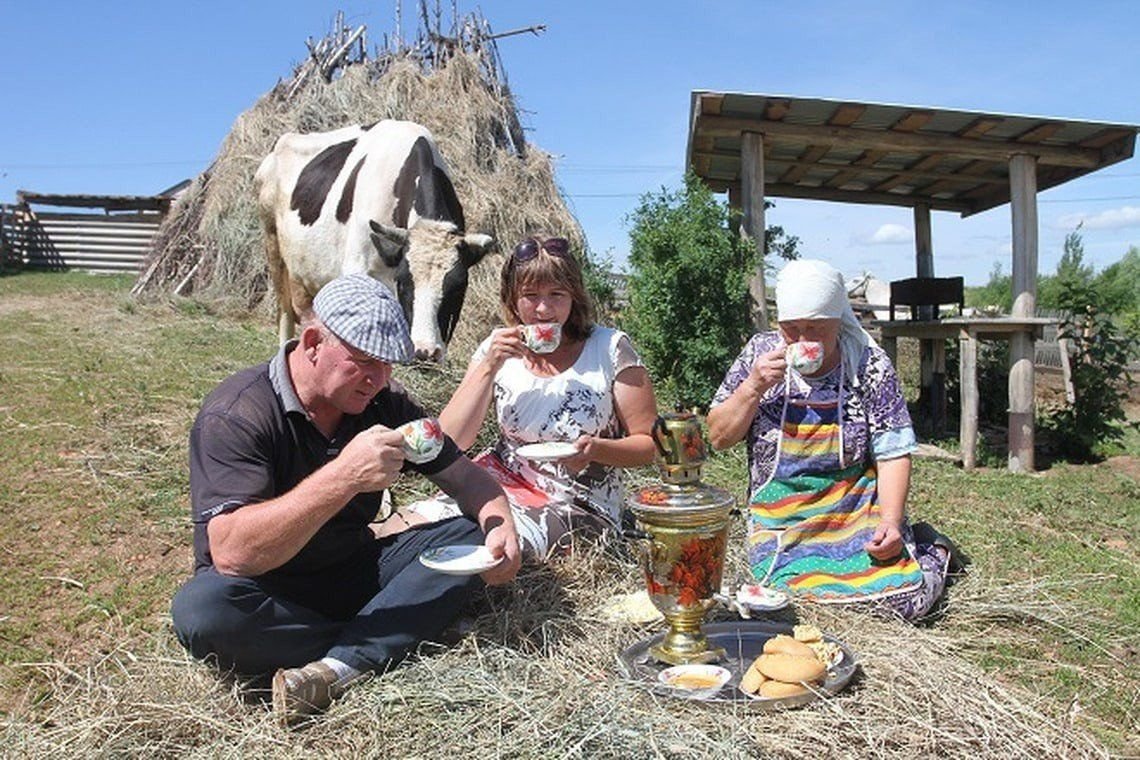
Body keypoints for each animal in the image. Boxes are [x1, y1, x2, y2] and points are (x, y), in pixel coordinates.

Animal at [256, 121, 492, 362]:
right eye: (403, 282)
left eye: (459, 287)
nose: (425, 353)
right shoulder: (357, 266)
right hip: (272, 243)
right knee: (285, 312)